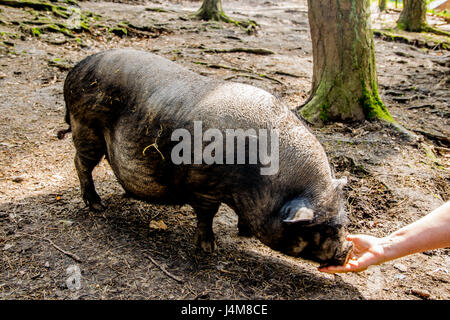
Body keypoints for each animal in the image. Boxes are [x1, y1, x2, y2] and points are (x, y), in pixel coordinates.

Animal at [58, 48, 352, 266]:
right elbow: (207, 215)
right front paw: (209, 249)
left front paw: (245, 234)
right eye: (326, 228)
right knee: (81, 164)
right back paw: (96, 205)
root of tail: (75, 69)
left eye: (342, 223)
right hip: (87, 127)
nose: (347, 250)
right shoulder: (204, 185)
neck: (261, 181)